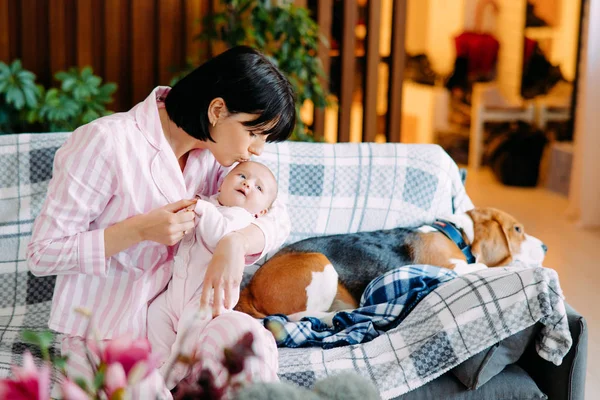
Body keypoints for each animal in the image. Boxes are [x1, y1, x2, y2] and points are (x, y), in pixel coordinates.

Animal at [234, 206, 548, 322]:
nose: (546, 247)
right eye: (517, 230)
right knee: (298, 317)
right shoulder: (453, 267)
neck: (457, 234)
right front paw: (516, 266)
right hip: (318, 262)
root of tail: (248, 290)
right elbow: (484, 267)